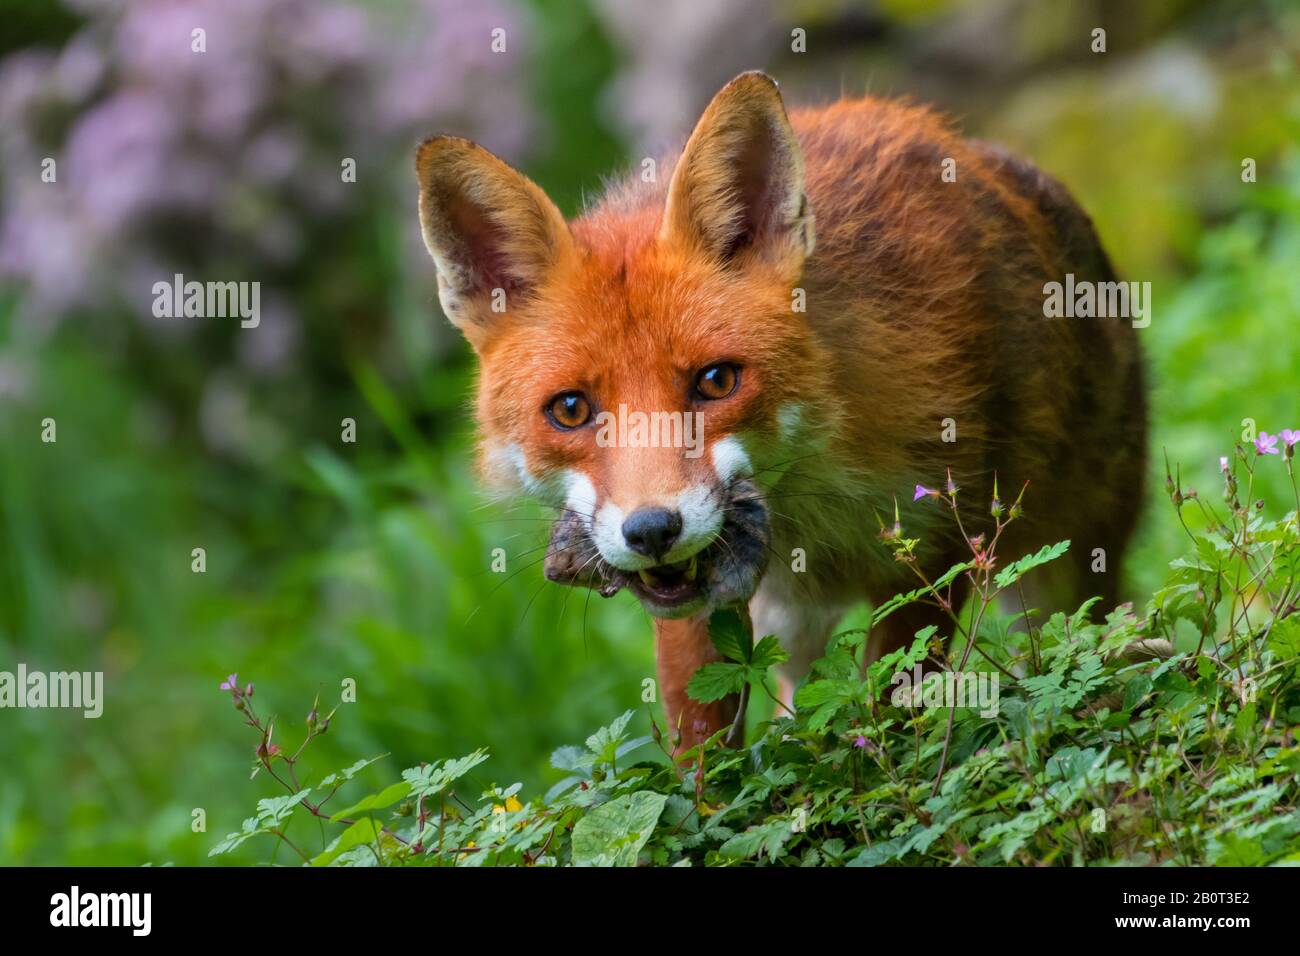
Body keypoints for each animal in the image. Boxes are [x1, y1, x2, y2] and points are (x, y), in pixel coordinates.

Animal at [415, 71, 1146, 754]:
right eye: (570, 409)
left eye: (716, 381)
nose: (651, 530)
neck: (811, 487)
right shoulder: (703, 595)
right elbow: (702, 745)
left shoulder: (934, 540)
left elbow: (896, 694)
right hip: (790, 622)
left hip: (1065, 566)